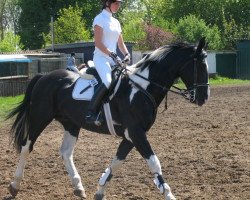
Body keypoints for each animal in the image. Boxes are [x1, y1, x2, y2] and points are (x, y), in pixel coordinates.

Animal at [6, 38, 210, 200]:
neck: (141, 88)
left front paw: (100, 190)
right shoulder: (136, 133)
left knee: (65, 152)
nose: (203, 97)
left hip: (71, 124)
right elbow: (154, 163)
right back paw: (15, 184)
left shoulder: (130, 136)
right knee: (26, 146)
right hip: (39, 118)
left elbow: (116, 162)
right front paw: (168, 194)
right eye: (200, 66)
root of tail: (44, 77)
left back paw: (78, 187)